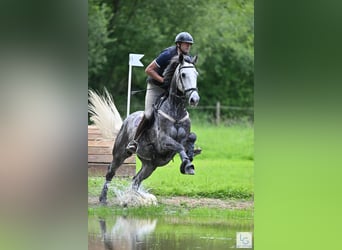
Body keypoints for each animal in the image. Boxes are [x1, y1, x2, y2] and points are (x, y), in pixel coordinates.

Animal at [99, 53, 200, 204]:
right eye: (183, 75)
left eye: (196, 74)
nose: (195, 99)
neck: (176, 110)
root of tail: (127, 119)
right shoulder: (163, 142)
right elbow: (179, 146)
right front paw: (188, 166)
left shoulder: (182, 138)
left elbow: (191, 138)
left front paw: (191, 155)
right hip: (120, 153)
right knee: (111, 171)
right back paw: (103, 198)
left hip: (150, 165)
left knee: (136, 179)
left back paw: (133, 199)